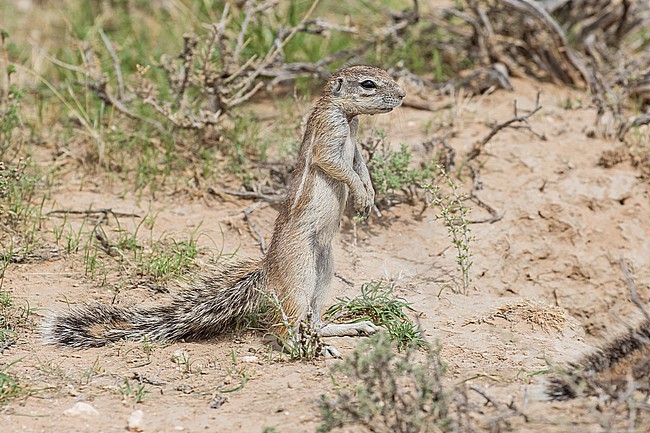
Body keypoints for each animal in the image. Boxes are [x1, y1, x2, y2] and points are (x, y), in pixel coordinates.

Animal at [41, 65, 406, 349]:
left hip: (325, 268)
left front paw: (369, 194)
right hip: (299, 270)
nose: (403, 95)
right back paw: (301, 347)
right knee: (284, 323)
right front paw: (360, 194)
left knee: (313, 318)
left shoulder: (354, 141)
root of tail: (268, 266)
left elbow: (360, 167)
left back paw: (345, 329)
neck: (346, 115)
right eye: (368, 84)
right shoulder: (330, 133)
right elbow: (336, 164)